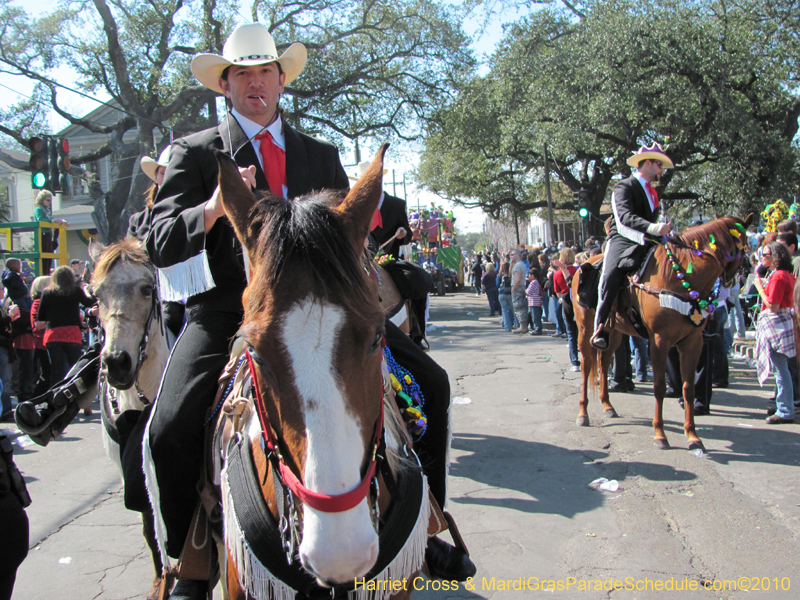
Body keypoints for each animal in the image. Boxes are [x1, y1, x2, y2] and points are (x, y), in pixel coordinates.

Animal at [576, 214, 752, 450]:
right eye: (744, 245)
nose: (742, 275)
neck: (680, 278)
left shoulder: (692, 343)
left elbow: (688, 388)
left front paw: (693, 436)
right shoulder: (660, 341)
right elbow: (659, 386)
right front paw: (660, 434)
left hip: (613, 333)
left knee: (604, 363)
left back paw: (607, 406)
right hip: (586, 331)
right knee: (587, 366)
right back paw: (583, 413)